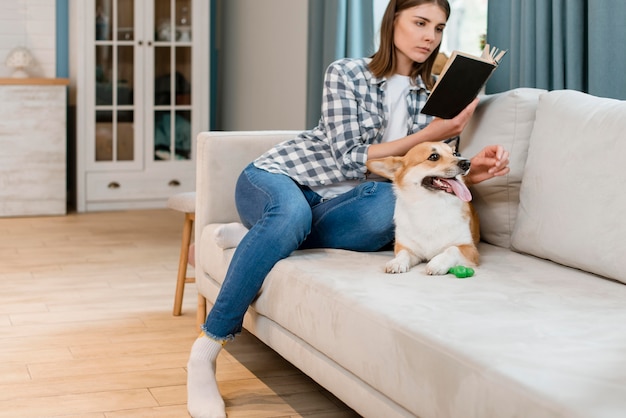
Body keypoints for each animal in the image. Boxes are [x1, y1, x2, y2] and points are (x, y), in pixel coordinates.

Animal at [366, 141, 478, 274]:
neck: (431, 204)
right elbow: (403, 253)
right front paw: (397, 262)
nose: (467, 163)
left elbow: (452, 249)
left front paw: (437, 263)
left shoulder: (470, 249)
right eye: (434, 156)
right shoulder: (408, 248)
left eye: (455, 154)